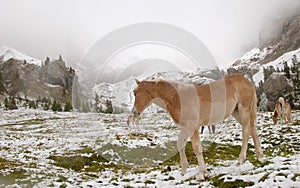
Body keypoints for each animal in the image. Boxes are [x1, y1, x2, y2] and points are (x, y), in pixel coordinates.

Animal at [132, 74, 262, 181]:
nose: (134, 112)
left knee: (246, 132)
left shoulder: (192, 127)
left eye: (135, 93)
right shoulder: (185, 127)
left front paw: (201, 174)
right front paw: (184, 171)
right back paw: (259, 156)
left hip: (244, 110)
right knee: (253, 129)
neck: (177, 97)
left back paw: (241, 159)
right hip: (237, 112)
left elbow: (196, 148)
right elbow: (180, 144)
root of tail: (246, 81)